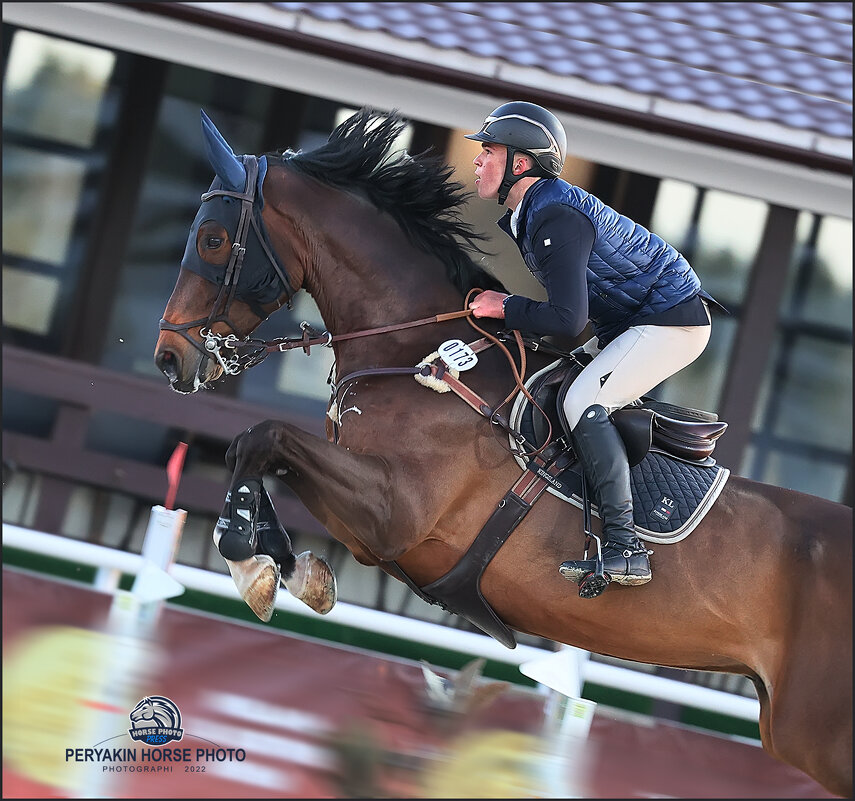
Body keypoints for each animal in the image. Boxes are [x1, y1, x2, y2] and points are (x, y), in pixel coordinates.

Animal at [155, 109, 855, 796]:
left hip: (817, 733)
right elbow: (258, 450)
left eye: (212, 239)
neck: (412, 353)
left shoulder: (393, 513)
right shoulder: (368, 525)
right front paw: (287, 568)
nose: (169, 359)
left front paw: (249, 561)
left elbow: (263, 438)